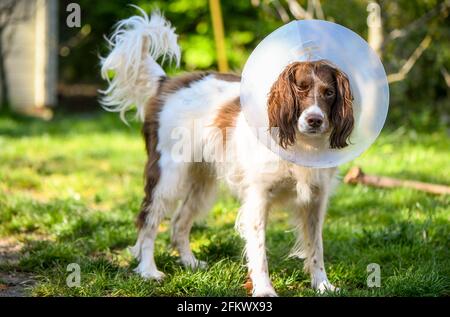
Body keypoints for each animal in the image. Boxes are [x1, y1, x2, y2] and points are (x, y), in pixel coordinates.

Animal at [100, 8, 354, 296]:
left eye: (329, 93)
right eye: (299, 89)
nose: (314, 120)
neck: (301, 144)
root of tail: (167, 83)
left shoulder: (315, 200)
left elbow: (316, 248)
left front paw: (322, 284)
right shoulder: (258, 199)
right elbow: (259, 252)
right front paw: (264, 290)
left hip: (202, 184)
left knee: (178, 223)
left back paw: (190, 263)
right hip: (168, 176)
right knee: (148, 221)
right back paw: (148, 270)